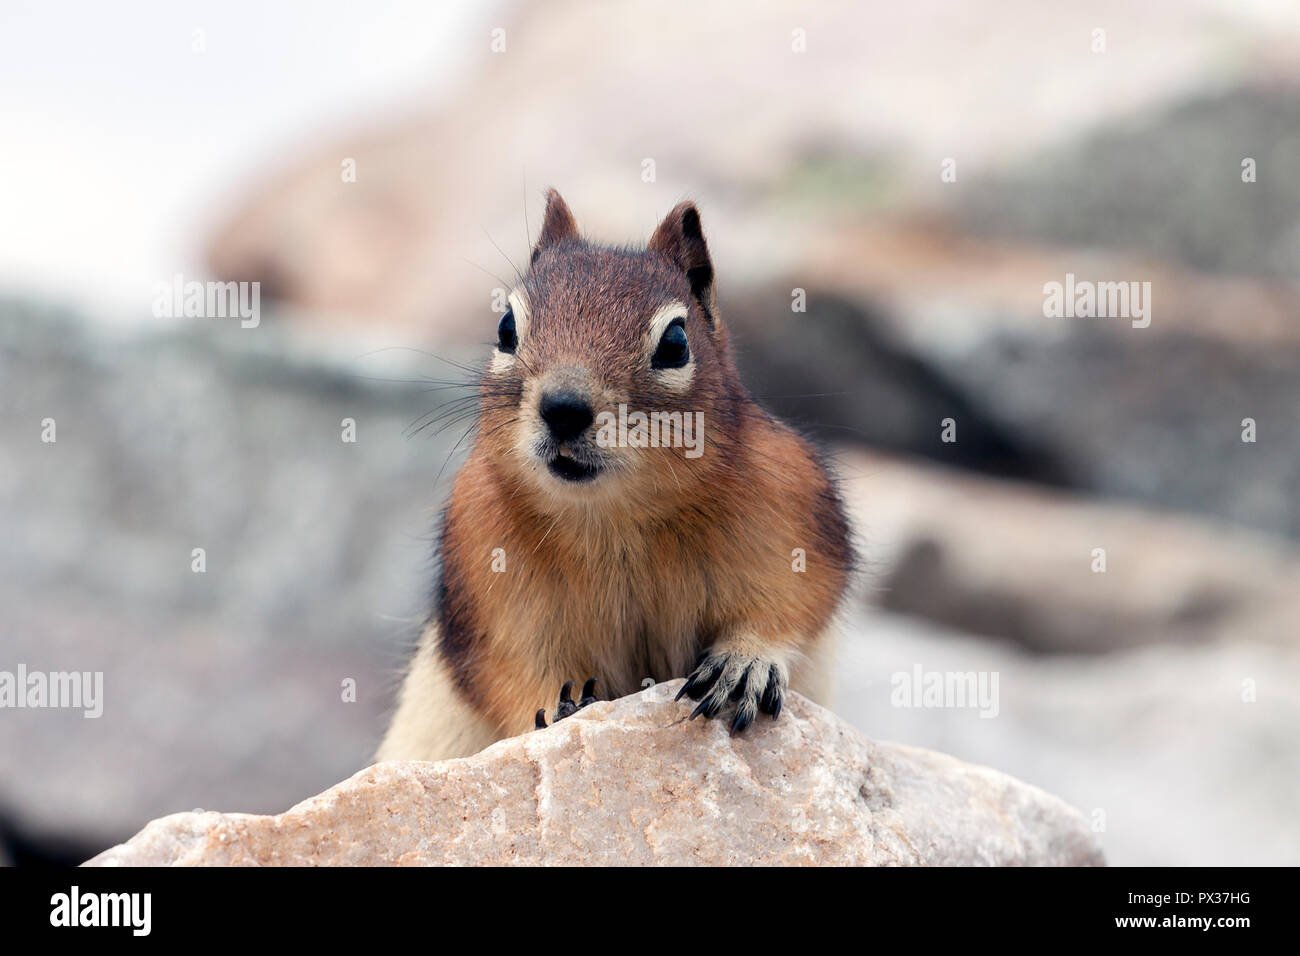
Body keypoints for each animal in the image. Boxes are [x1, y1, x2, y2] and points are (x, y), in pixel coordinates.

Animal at [379, 192, 852, 764]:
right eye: (505, 327)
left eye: (676, 342)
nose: (563, 407)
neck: (615, 514)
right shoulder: (486, 576)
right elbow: (513, 670)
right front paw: (561, 708)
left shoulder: (791, 512)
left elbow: (791, 603)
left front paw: (746, 663)